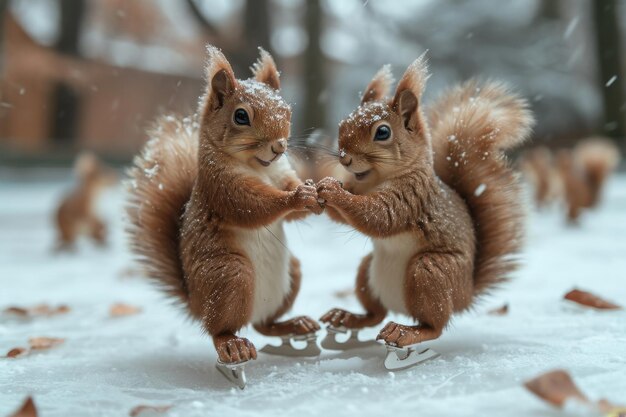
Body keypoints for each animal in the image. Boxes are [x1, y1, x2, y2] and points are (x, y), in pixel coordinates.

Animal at [127, 44, 322, 374]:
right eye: (241, 116)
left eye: (287, 110)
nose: (280, 147)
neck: (260, 167)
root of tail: (196, 303)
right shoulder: (221, 186)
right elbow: (251, 206)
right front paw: (296, 197)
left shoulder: (282, 172)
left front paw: (316, 191)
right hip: (232, 276)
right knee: (220, 329)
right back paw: (232, 345)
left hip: (289, 273)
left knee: (264, 324)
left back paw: (293, 324)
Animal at [316, 54, 532, 348]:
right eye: (342, 125)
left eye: (382, 133)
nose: (344, 158)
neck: (375, 179)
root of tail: (465, 295)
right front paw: (320, 184)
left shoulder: (412, 195)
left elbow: (379, 215)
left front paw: (332, 191)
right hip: (367, 271)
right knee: (375, 314)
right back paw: (347, 317)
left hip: (430, 271)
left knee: (434, 325)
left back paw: (405, 332)